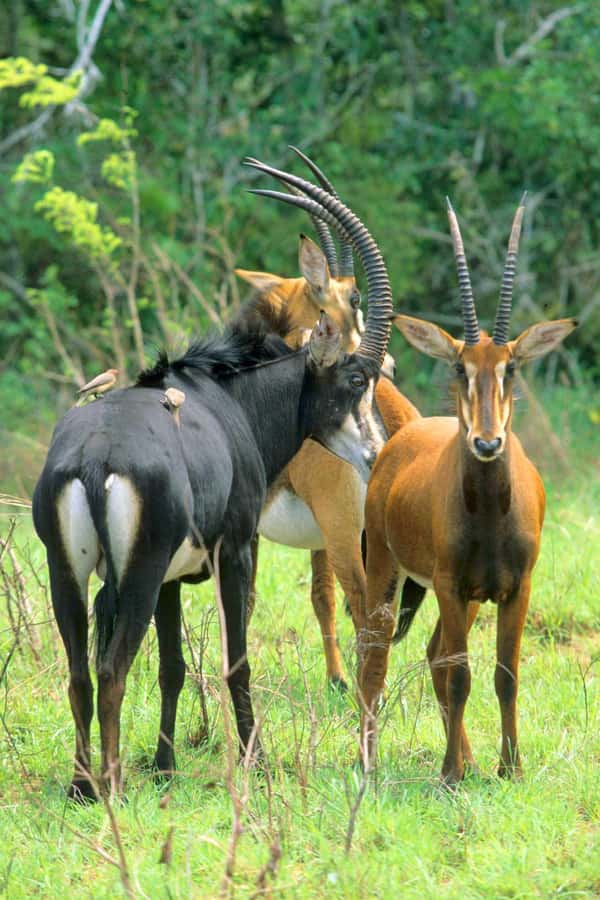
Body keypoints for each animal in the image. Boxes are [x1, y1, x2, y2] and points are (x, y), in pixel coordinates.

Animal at [32, 159, 394, 800]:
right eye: (356, 378)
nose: (377, 451)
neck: (230, 397)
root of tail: (96, 459)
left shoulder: (174, 580)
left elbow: (174, 668)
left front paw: (166, 764)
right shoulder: (236, 549)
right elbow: (235, 657)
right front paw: (257, 759)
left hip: (66, 571)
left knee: (79, 671)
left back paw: (82, 786)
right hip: (139, 572)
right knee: (111, 668)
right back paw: (111, 784)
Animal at [242, 150, 420, 688]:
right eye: (354, 298)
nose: (389, 367)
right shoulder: (317, 538)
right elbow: (320, 596)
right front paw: (335, 679)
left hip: (347, 532)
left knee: (366, 612)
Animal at [360, 195, 577, 783]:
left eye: (511, 367)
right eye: (460, 366)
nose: (486, 442)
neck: (489, 513)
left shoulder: (515, 588)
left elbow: (505, 674)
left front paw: (509, 768)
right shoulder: (451, 585)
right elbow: (462, 676)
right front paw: (450, 774)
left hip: (470, 595)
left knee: (436, 652)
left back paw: (472, 758)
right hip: (389, 569)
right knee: (376, 653)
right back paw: (369, 761)